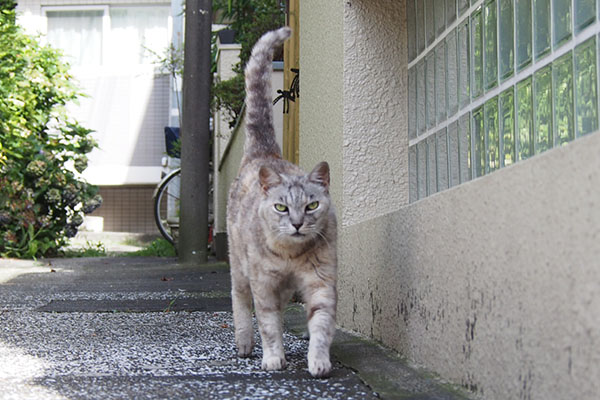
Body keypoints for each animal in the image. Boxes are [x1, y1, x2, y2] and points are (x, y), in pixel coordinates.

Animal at [226, 28, 338, 378]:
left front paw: (319, 361)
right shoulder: (264, 285)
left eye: (312, 206)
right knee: (239, 299)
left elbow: (321, 324)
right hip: (239, 267)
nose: (298, 223)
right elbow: (269, 324)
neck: (292, 257)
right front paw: (274, 358)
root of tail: (265, 153)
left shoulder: (321, 283)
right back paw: (245, 343)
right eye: (281, 207)